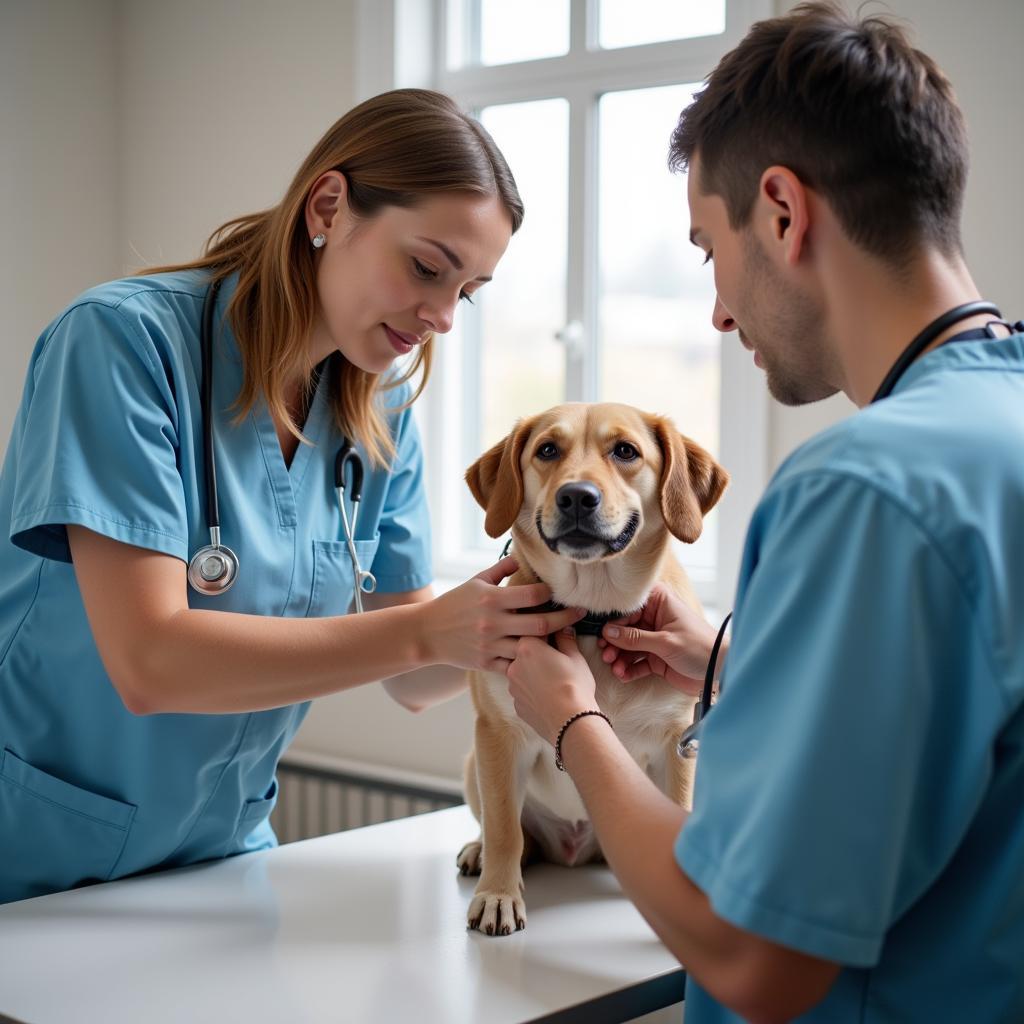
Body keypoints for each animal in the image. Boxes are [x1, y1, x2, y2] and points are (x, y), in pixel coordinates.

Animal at [456, 399, 729, 937]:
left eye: (625, 451)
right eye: (547, 450)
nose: (577, 497)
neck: (592, 613)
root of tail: (575, 848)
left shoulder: (676, 742)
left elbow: (677, 805)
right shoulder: (497, 733)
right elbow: (503, 828)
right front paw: (498, 894)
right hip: (473, 764)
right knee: (510, 833)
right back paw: (483, 854)